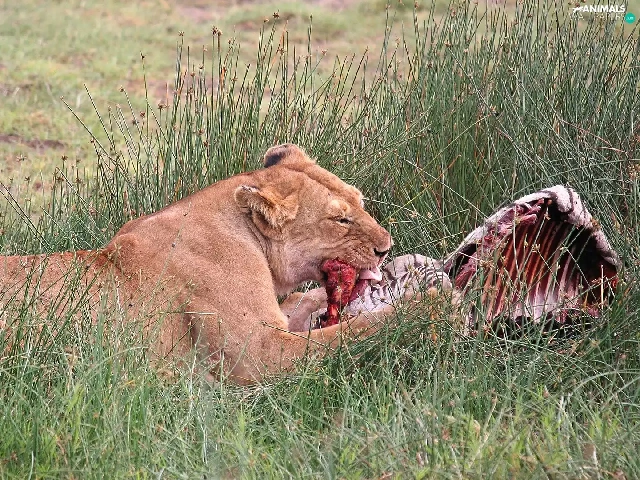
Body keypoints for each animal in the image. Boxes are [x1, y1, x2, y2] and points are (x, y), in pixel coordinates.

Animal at [0, 144, 392, 384]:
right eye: (340, 220)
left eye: (359, 201)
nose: (386, 248)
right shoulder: (261, 356)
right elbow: (355, 331)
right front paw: (409, 308)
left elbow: (302, 301)